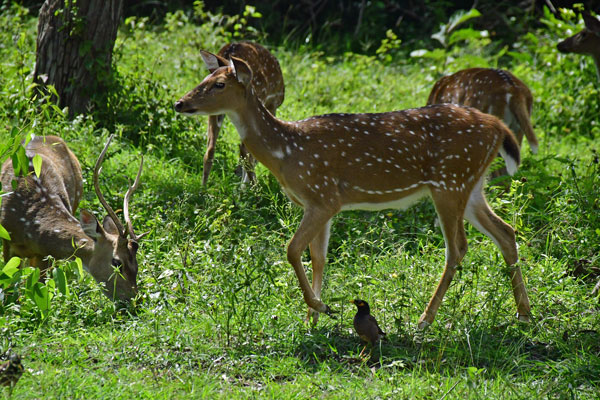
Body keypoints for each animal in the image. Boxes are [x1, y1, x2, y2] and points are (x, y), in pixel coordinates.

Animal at [198, 41, 284, 185]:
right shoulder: (272, 104)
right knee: (244, 149)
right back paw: (249, 186)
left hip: (214, 107)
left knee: (210, 149)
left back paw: (203, 188)